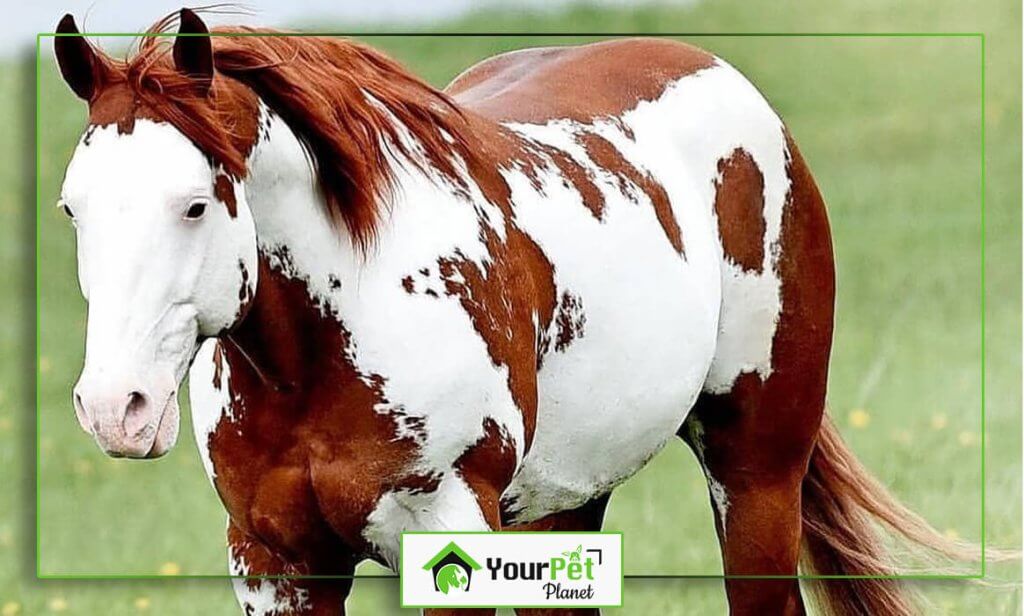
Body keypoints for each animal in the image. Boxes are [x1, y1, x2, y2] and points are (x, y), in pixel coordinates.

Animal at [54, 9, 975, 616]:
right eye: (73, 209)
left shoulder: (448, 529)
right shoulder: (275, 562)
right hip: (563, 503)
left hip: (757, 479)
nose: (114, 410)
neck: (327, 348)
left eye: (193, 205)